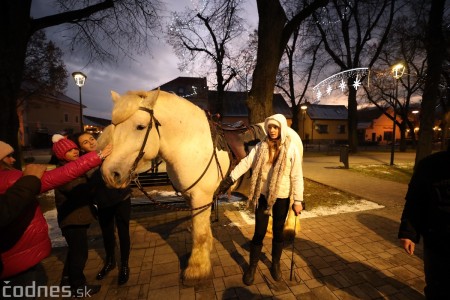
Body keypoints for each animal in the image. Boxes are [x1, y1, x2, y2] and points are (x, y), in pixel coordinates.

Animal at [100, 90, 300, 282]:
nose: (109, 174)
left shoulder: (201, 197)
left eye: (140, 126)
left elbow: (199, 233)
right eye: (114, 126)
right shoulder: (191, 197)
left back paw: (289, 231)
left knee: (292, 205)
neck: (189, 142)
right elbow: (199, 228)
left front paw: (196, 269)